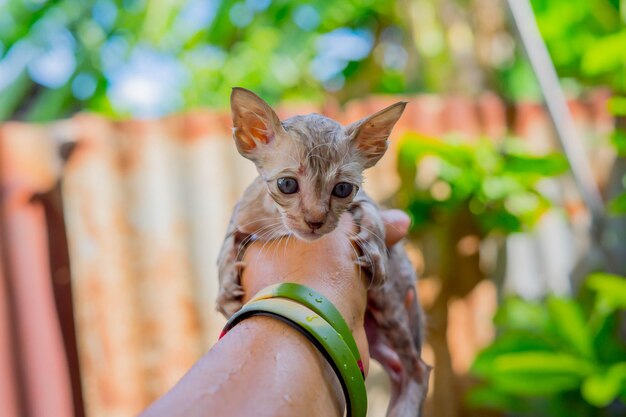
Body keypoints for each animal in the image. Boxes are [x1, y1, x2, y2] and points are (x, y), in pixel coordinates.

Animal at [217, 87, 426, 412]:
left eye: (342, 189)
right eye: (287, 184)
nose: (315, 221)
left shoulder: (366, 202)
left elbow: (374, 218)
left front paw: (375, 252)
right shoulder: (242, 214)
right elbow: (227, 244)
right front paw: (226, 286)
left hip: (388, 304)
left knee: (419, 368)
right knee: (400, 367)